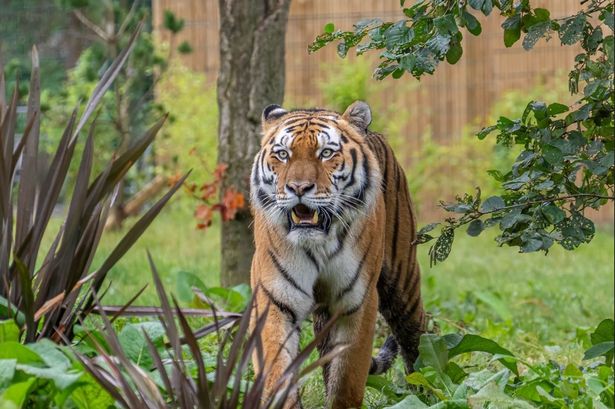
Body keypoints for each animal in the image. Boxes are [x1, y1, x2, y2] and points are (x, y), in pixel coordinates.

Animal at [248, 99, 426, 408]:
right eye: (283, 154)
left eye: (326, 153)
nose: (298, 188)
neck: (317, 243)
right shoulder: (275, 298)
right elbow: (277, 368)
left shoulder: (357, 302)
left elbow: (347, 377)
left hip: (402, 281)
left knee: (416, 337)